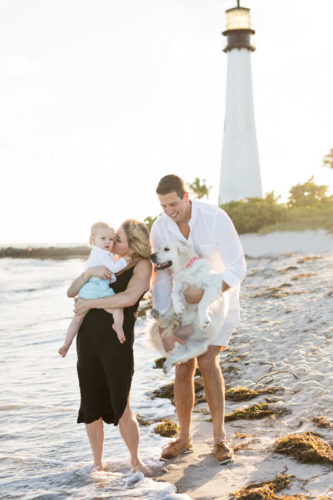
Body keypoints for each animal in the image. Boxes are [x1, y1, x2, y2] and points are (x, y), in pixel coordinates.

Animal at [148, 240, 224, 374]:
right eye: (159, 248)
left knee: (176, 356)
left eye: (166, 249)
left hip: (195, 348)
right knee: (165, 324)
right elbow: (173, 294)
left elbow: (202, 303)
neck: (187, 268)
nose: (151, 256)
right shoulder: (180, 286)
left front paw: (203, 320)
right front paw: (178, 306)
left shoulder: (211, 286)